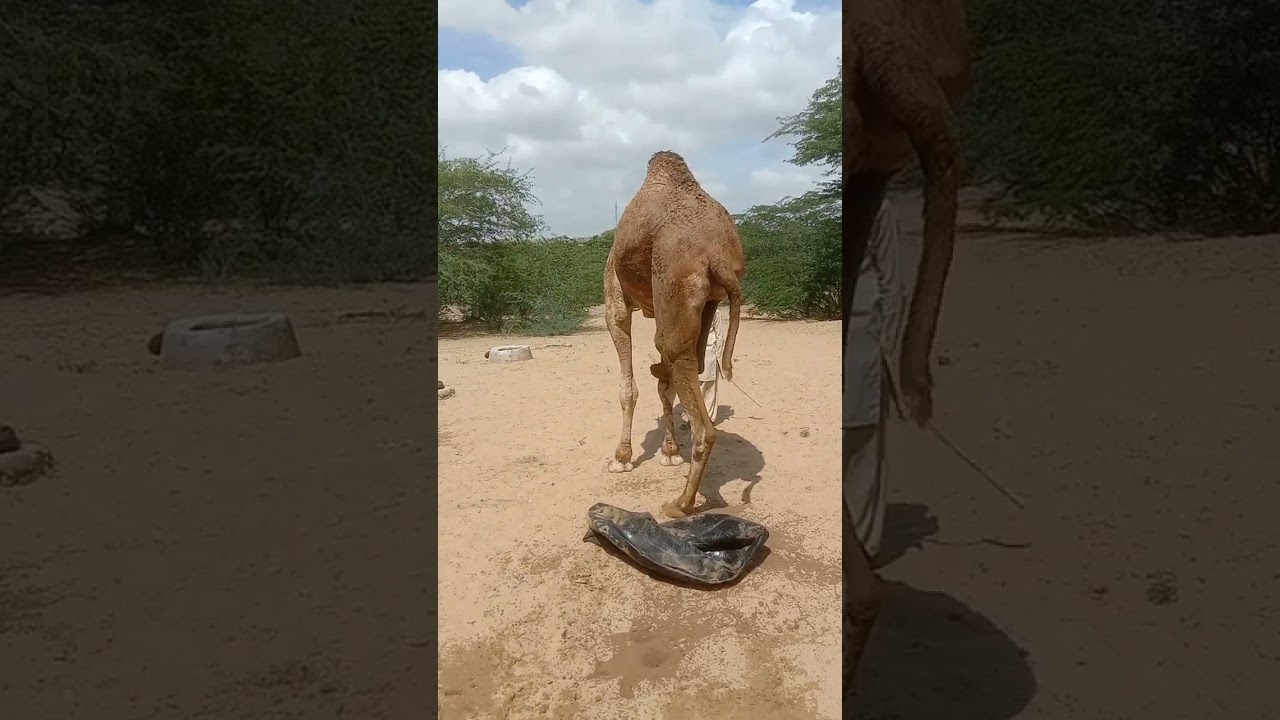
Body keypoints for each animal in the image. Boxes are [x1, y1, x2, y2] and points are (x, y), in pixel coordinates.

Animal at [603, 151, 746, 519]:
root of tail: (715, 255)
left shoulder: (615, 303)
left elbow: (628, 388)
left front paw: (621, 457)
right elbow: (663, 386)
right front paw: (669, 452)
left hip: (676, 284)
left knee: (701, 418)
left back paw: (680, 504)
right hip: (706, 300)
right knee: (687, 359)